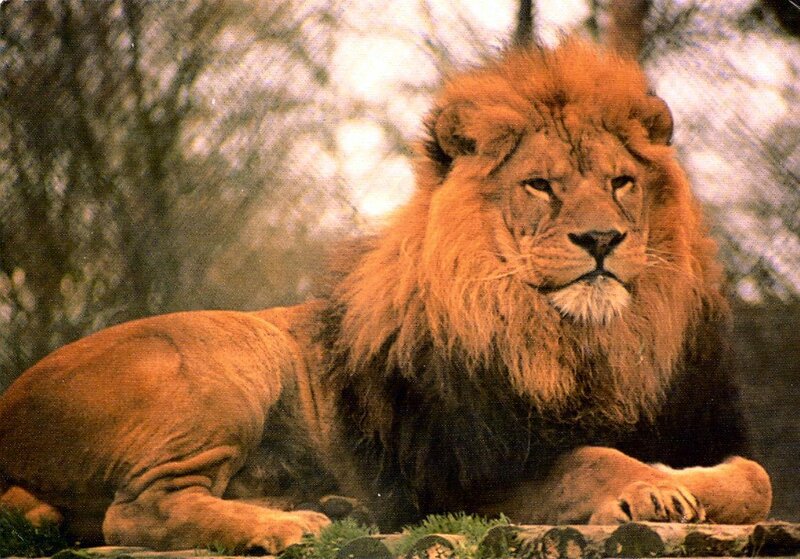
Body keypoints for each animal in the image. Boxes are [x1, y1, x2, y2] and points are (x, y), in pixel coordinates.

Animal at [0, 40, 772, 553]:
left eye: (620, 183)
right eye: (541, 186)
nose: (602, 239)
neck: (579, 341)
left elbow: (757, 476)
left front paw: (692, 482)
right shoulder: (462, 481)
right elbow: (590, 459)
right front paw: (648, 489)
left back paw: (331, 503)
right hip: (235, 354)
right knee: (133, 511)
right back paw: (291, 525)